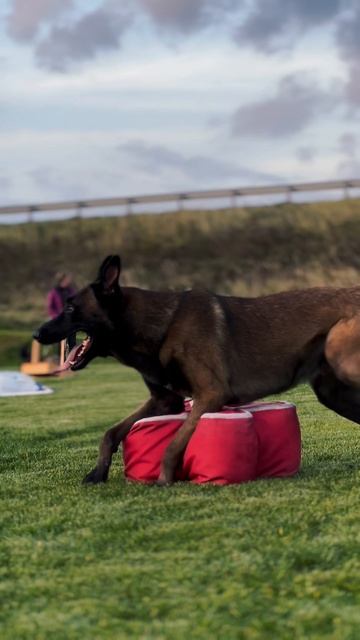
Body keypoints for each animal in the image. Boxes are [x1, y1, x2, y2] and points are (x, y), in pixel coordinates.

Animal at [34, 255, 360, 484]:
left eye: (70, 308)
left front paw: (164, 480)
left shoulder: (211, 395)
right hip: (332, 392)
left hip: (339, 357)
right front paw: (98, 473)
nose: (37, 334)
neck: (159, 325)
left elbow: (173, 444)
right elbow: (111, 433)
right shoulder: (166, 400)